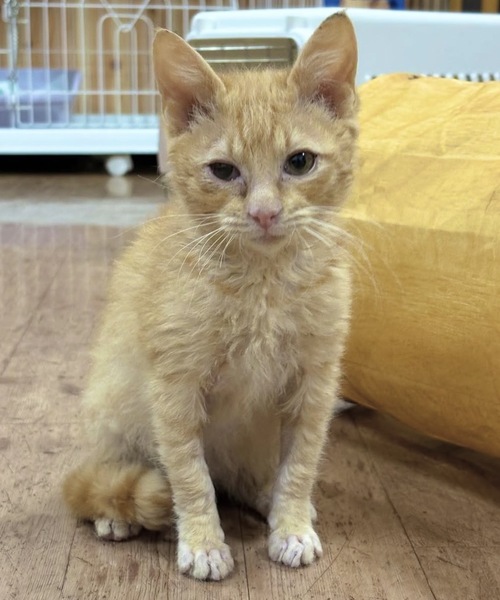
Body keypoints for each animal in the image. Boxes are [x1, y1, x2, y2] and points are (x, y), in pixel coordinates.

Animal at [63, 12, 358, 581]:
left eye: (300, 161)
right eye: (223, 171)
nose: (264, 212)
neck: (263, 283)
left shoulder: (315, 382)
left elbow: (301, 463)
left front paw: (291, 524)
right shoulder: (174, 389)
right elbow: (189, 474)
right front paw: (202, 542)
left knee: (246, 478)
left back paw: (268, 497)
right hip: (111, 405)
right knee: (105, 478)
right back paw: (117, 514)